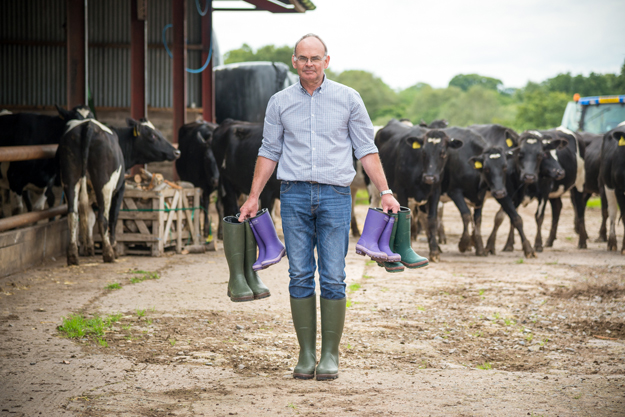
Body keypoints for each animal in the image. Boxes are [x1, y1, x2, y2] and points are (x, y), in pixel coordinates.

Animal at [58, 117, 179, 264]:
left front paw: (89, 247)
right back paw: (109, 253)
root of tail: (89, 125)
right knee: (103, 217)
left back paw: (73, 255)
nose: (176, 152)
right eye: (152, 135)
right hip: (104, 185)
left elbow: (89, 217)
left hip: (69, 180)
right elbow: (114, 217)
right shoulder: (120, 189)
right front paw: (114, 247)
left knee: (73, 215)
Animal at [372, 118, 460, 260]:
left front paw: (434, 251)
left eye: (443, 153)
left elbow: (432, 219)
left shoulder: (435, 191)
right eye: (423, 152)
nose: (429, 177)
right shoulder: (402, 191)